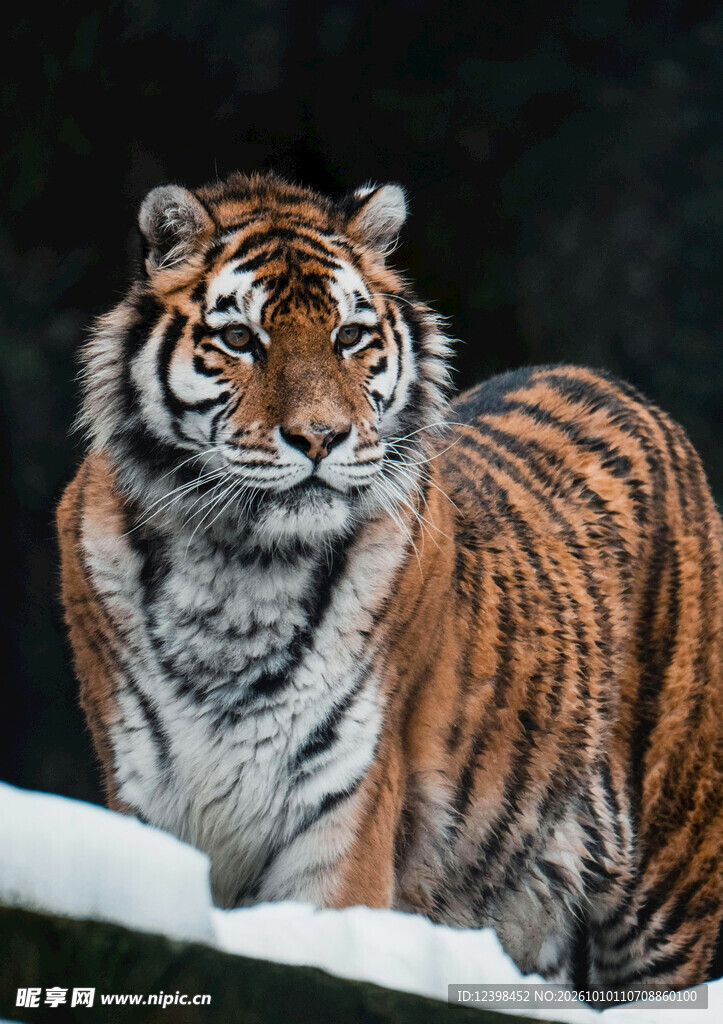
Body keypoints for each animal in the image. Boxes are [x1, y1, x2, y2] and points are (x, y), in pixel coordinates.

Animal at [57, 170, 722, 992]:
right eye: (240, 339)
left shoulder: (342, 813)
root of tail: (609, 382)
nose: (319, 437)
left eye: (350, 336)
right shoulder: (148, 803)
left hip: (666, 894)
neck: (240, 569)